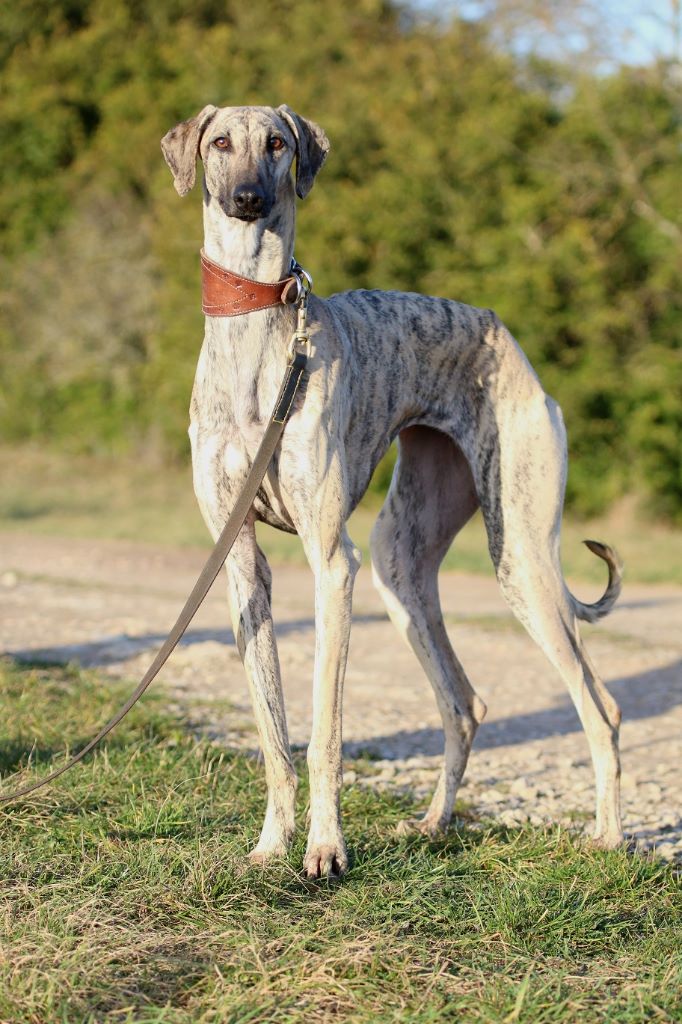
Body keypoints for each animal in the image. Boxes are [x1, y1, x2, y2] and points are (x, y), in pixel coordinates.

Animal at [160, 108, 622, 884]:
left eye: (277, 144)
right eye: (220, 143)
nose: (249, 199)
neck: (259, 335)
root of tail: (507, 337)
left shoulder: (332, 563)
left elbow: (324, 733)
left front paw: (325, 849)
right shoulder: (241, 564)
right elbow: (273, 730)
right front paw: (271, 845)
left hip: (519, 553)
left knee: (600, 705)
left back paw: (610, 839)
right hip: (399, 563)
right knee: (465, 703)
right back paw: (435, 824)